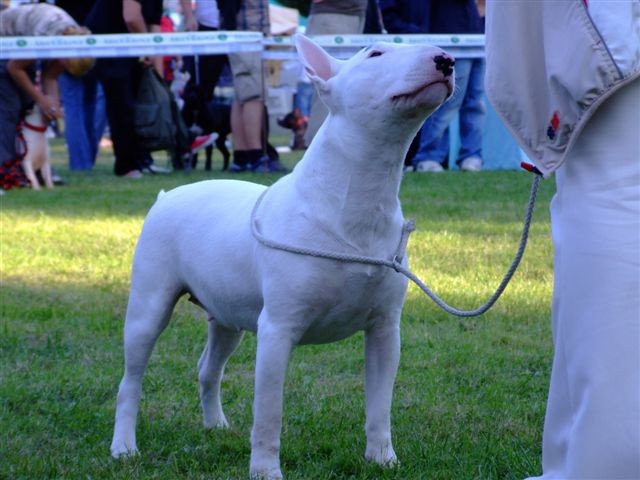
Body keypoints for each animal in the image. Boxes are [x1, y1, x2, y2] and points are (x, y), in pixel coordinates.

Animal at [110, 34, 452, 480]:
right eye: (374, 54)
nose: (445, 60)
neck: (358, 197)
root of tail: (167, 196)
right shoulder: (277, 330)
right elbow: (269, 412)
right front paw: (265, 470)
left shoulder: (384, 330)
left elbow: (380, 404)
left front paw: (383, 459)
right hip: (149, 306)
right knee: (131, 379)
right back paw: (123, 447)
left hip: (227, 315)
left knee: (208, 367)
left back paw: (215, 426)